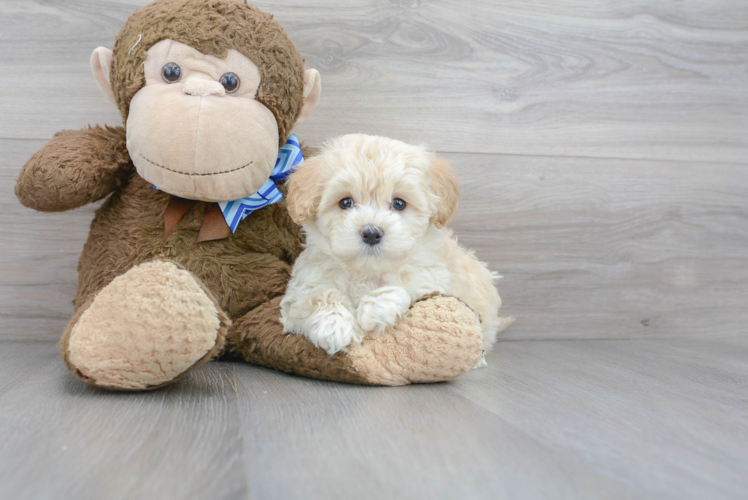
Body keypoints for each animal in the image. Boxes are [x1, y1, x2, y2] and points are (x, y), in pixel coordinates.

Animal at [282, 135, 516, 362]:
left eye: (399, 203)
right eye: (346, 202)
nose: (371, 233)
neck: (367, 272)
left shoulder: (432, 279)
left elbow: (406, 288)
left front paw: (373, 308)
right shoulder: (300, 293)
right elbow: (319, 295)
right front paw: (333, 325)